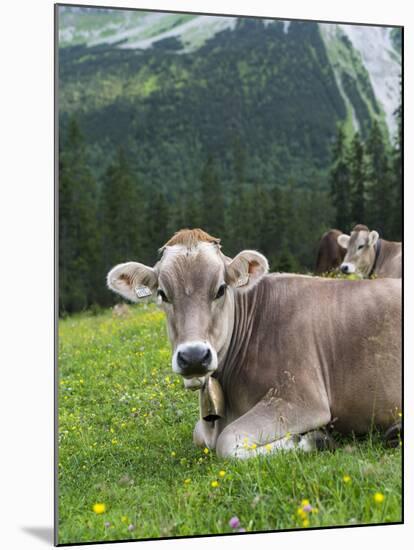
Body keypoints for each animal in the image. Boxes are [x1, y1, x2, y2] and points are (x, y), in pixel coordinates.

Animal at [106, 229, 402, 462]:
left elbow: (226, 442)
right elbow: (199, 434)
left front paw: (312, 440)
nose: (194, 357)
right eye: (162, 294)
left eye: (221, 289)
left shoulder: (301, 398)